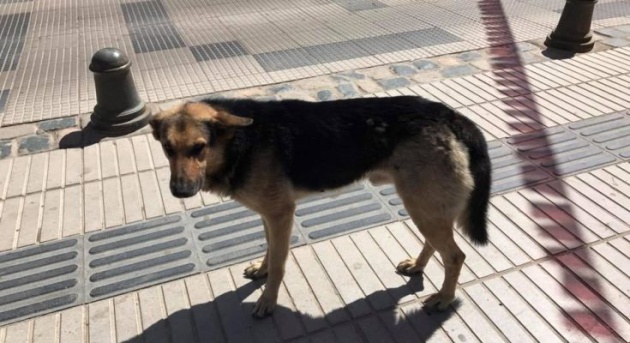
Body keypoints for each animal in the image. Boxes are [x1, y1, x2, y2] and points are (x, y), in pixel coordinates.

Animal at [149, 95, 494, 318]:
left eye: (199, 148)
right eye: (167, 148)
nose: (180, 192)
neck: (239, 140)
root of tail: (449, 115)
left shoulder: (280, 214)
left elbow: (279, 262)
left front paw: (268, 301)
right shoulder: (269, 214)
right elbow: (269, 250)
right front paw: (261, 271)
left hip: (423, 204)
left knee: (455, 256)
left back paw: (445, 299)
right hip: (423, 204)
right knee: (435, 243)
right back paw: (418, 265)